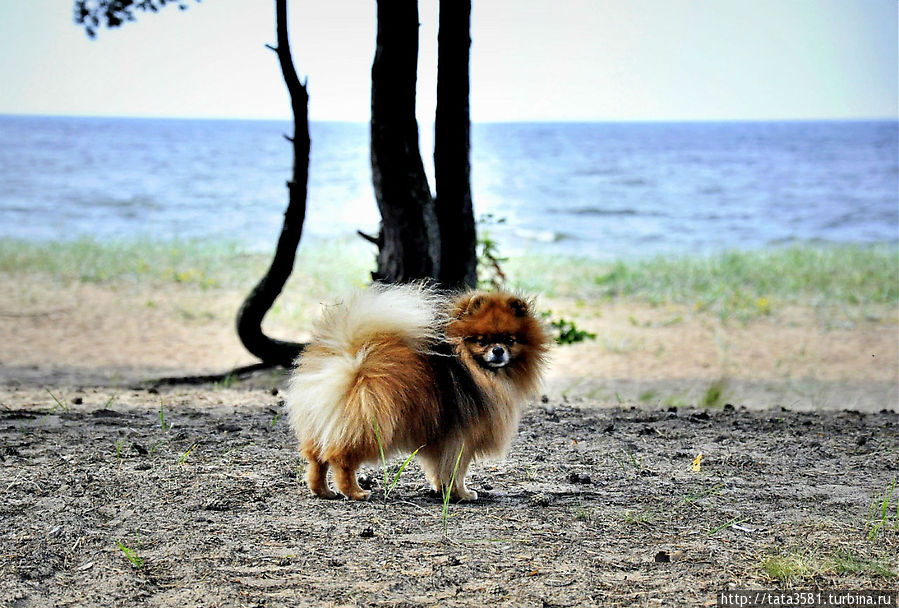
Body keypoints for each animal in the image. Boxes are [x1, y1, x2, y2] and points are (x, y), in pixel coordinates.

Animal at [284, 282, 548, 502]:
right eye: (482, 341)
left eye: (510, 340)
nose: (498, 350)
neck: (475, 369)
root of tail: (351, 355)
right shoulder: (461, 437)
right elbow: (456, 470)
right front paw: (461, 494)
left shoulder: (444, 439)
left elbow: (441, 469)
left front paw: (443, 490)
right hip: (369, 426)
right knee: (341, 459)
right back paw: (356, 492)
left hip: (322, 423)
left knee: (317, 459)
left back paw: (323, 491)